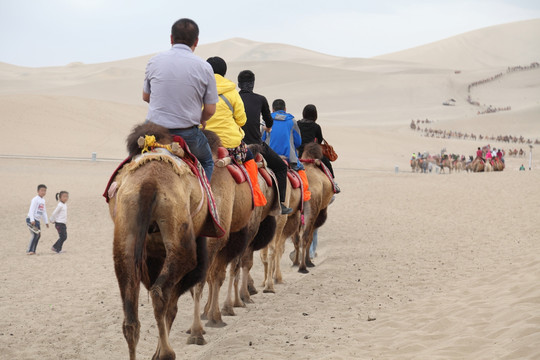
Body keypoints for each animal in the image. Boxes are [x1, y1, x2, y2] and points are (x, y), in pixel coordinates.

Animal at [107, 122, 211, 358]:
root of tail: (148, 182)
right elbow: (173, 304)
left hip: (126, 232)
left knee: (131, 319)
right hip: (181, 241)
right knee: (161, 292)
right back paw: (166, 353)